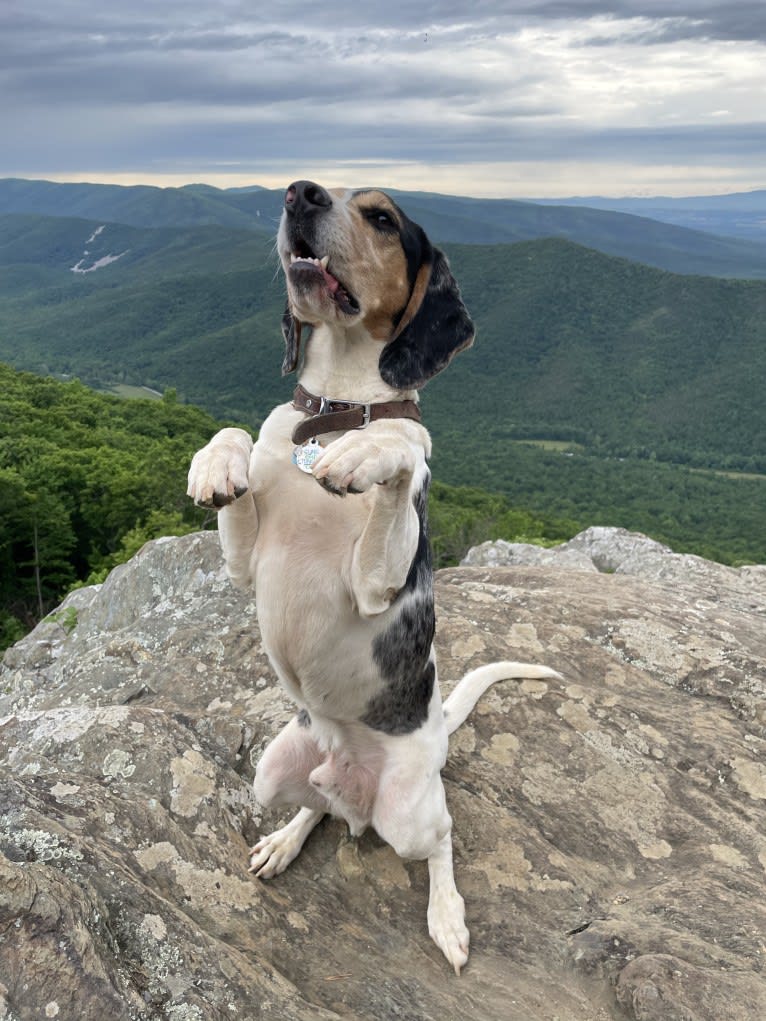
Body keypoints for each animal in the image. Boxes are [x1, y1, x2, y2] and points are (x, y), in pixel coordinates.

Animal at [188, 183, 559, 971]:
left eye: (383, 218)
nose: (299, 194)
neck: (333, 410)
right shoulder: (244, 567)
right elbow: (235, 441)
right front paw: (216, 463)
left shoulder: (375, 584)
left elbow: (399, 453)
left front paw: (367, 453)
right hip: (273, 772)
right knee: (316, 805)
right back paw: (285, 840)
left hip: (411, 812)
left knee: (442, 839)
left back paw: (447, 916)